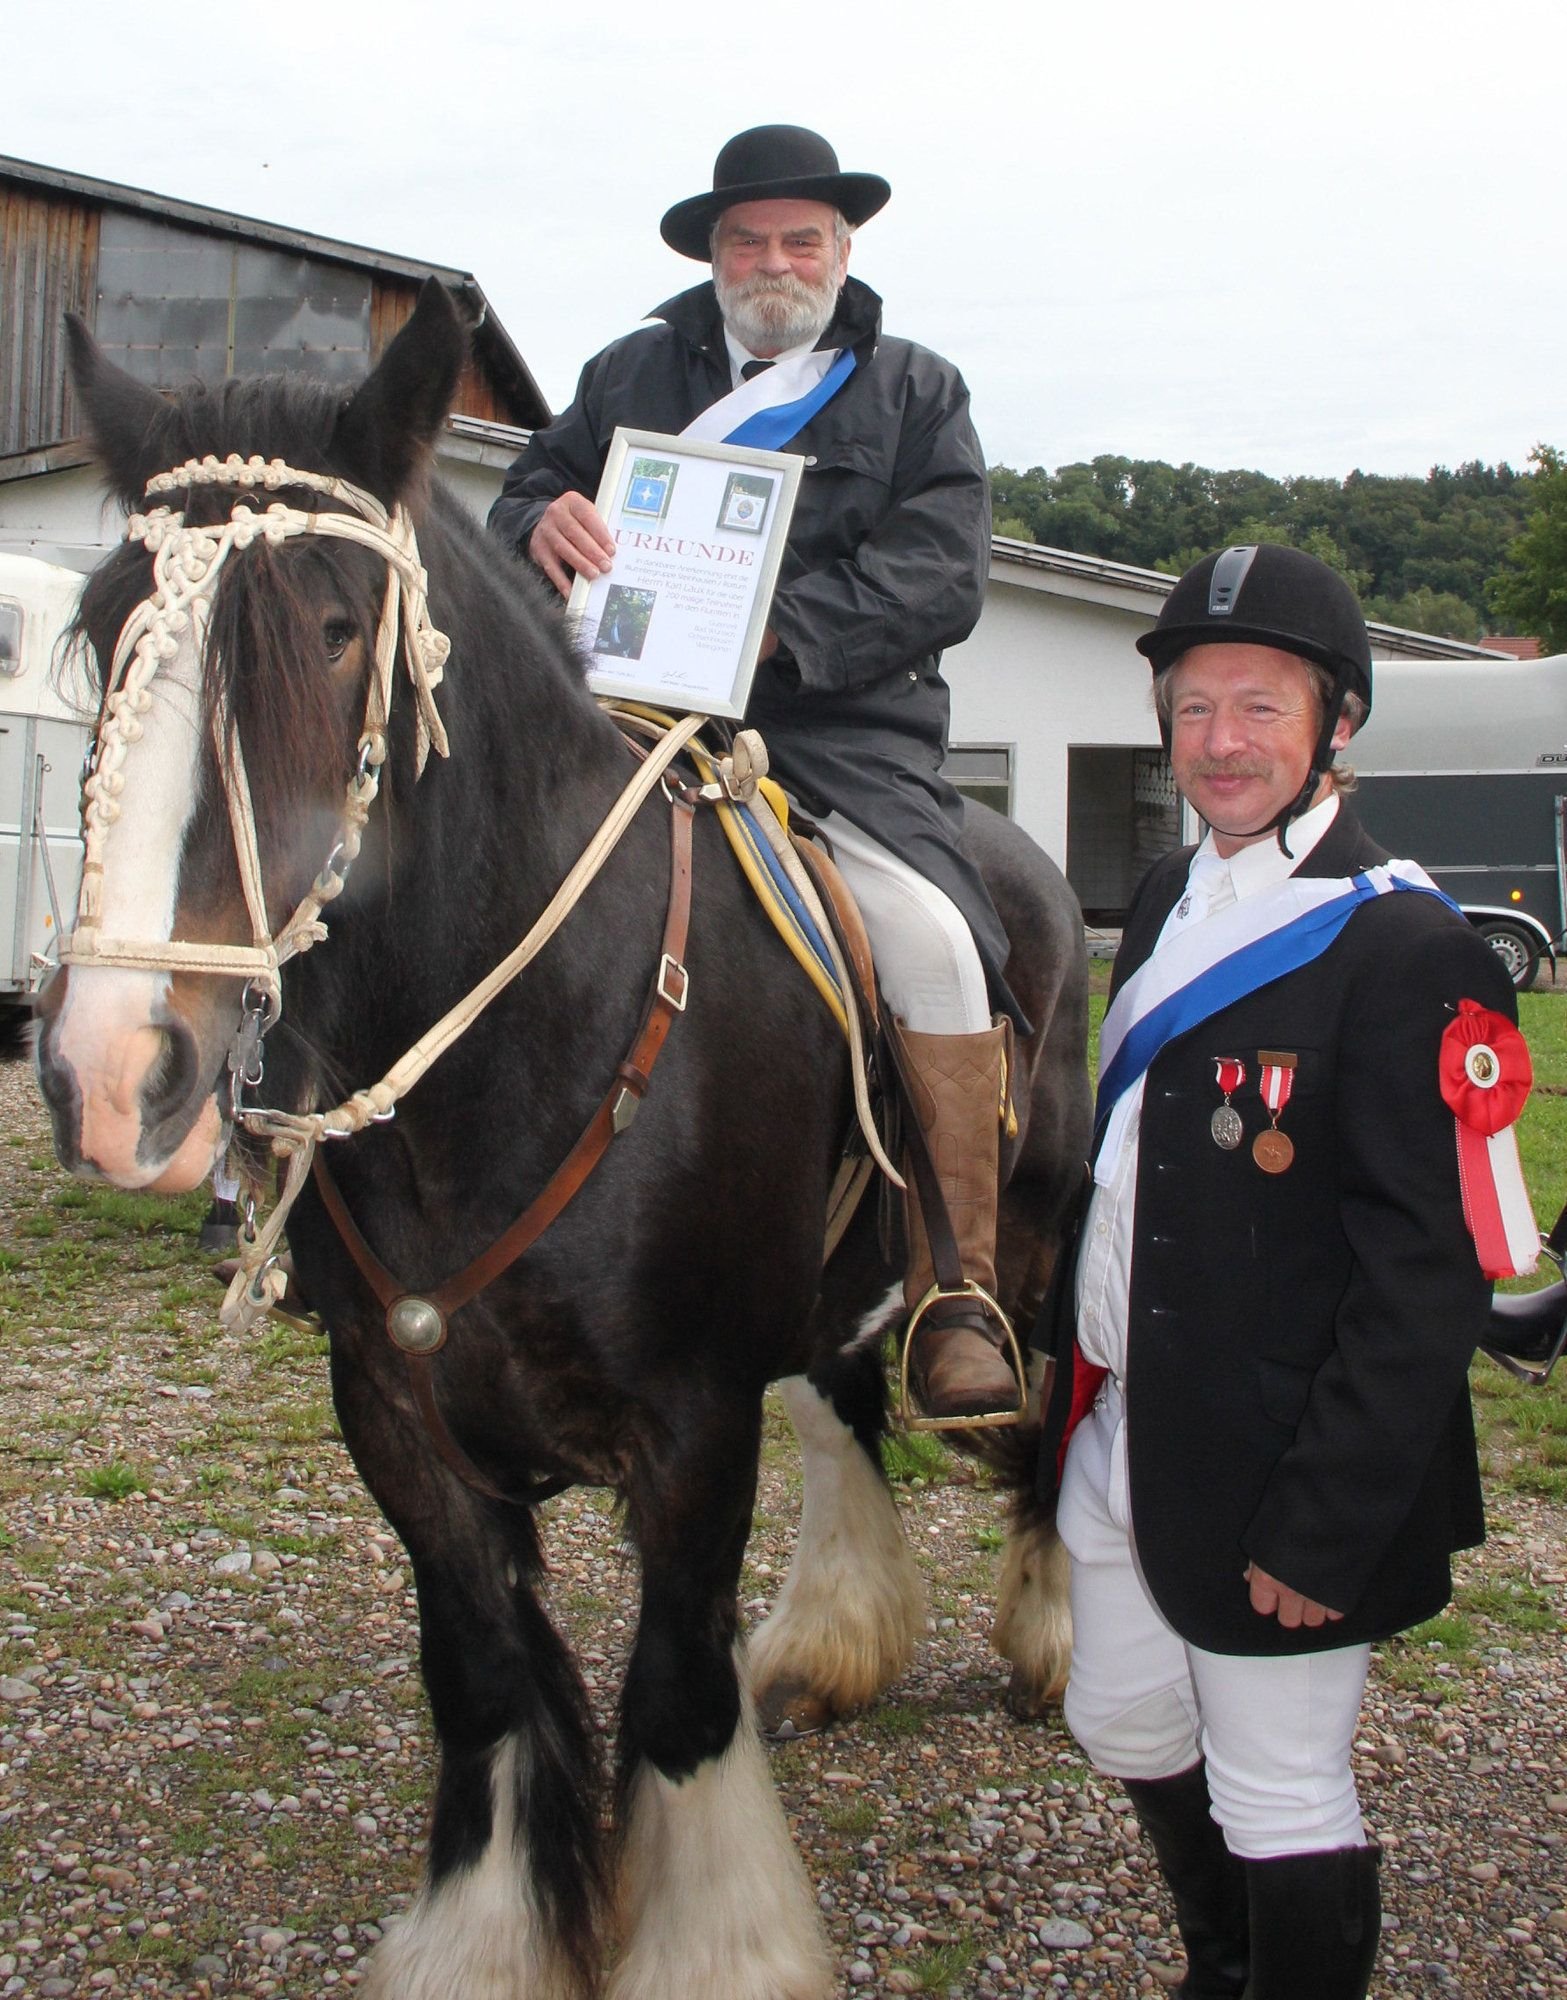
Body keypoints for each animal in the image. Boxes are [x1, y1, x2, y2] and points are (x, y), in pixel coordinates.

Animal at [36, 286, 1087, 2000]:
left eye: (334, 630)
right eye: (110, 627)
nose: (113, 1069)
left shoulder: (690, 1429)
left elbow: (671, 1698)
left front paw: (722, 1949)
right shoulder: (398, 1424)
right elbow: (481, 1684)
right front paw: (484, 1943)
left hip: (1044, 1243)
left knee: (1048, 1409)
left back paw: (1049, 1642)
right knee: (846, 1408)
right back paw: (834, 1646)